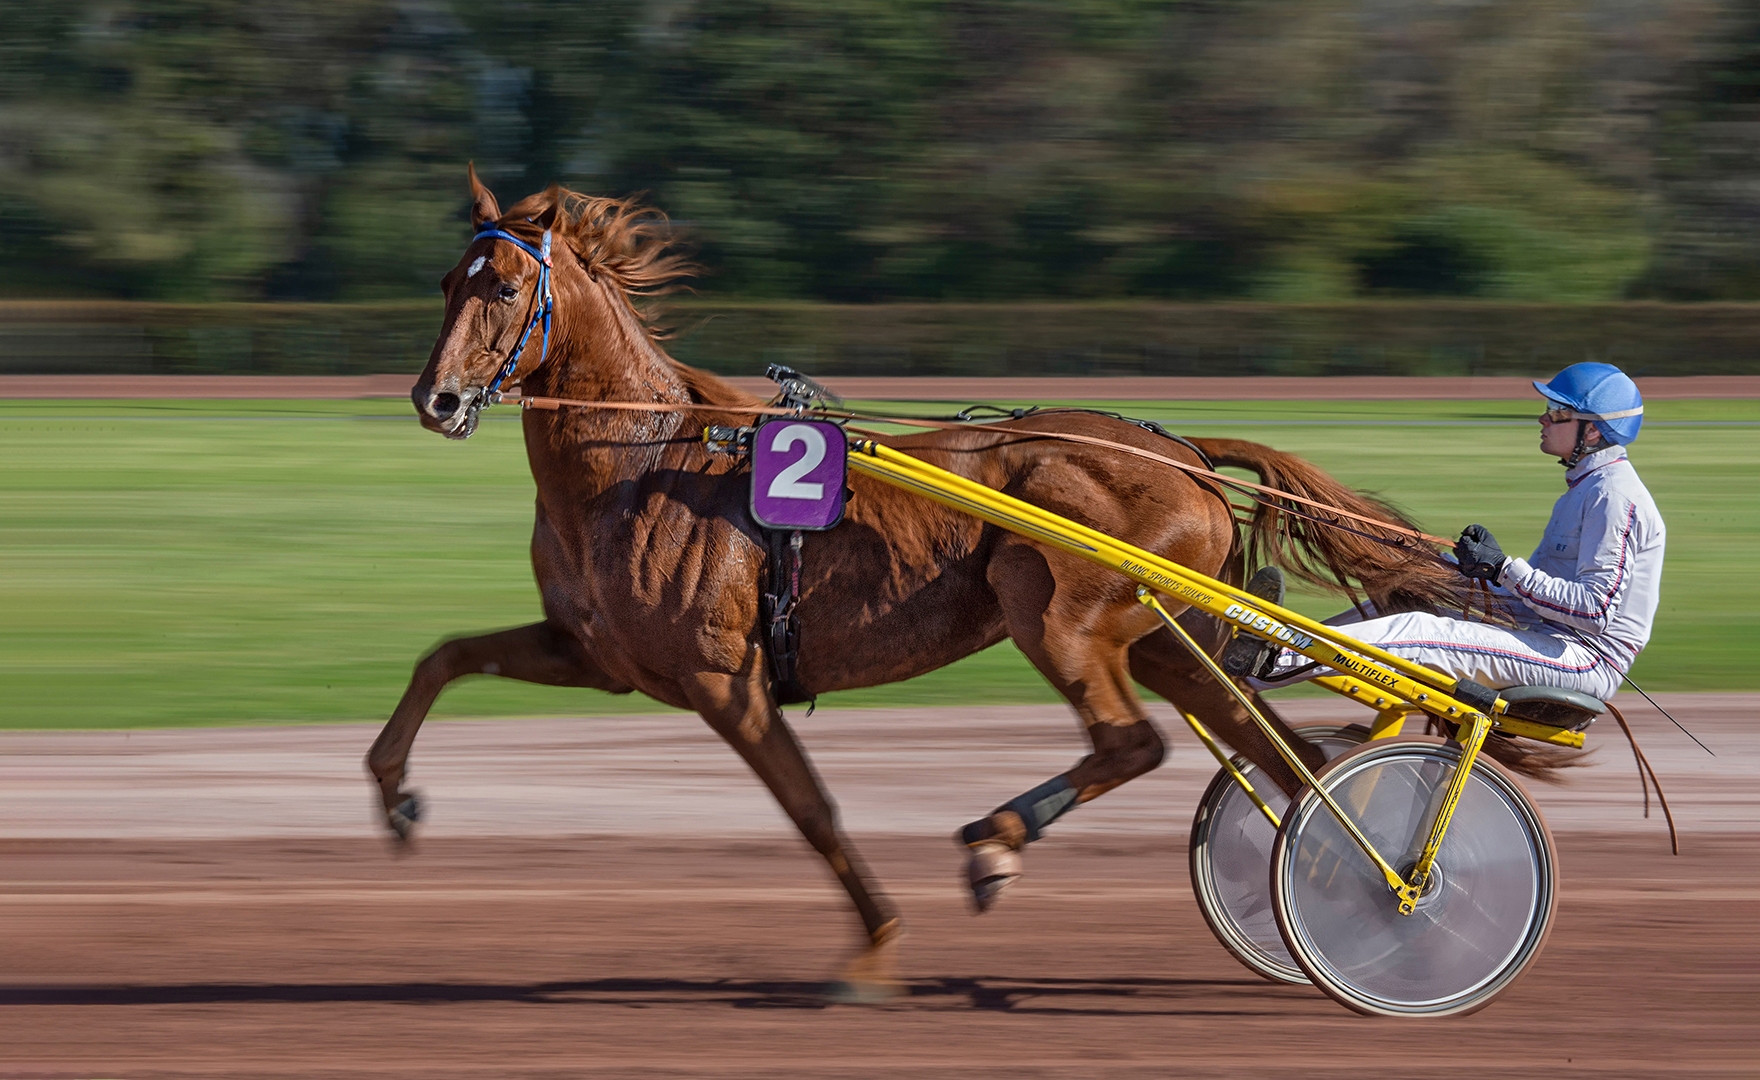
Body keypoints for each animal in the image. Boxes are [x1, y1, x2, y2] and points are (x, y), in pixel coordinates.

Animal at [367, 165, 1471, 1006]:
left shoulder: (724, 679)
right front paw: (394, 794)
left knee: (1137, 741)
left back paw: (1004, 841)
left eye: (507, 288)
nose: (437, 399)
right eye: (446, 280)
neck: (643, 457)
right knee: (1280, 755)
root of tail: (1186, 451)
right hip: (1161, 633)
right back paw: (1337, 888)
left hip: (1055, 605)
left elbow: (812, 811)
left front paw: (873, 950)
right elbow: (444, 657)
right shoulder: (598, 653)